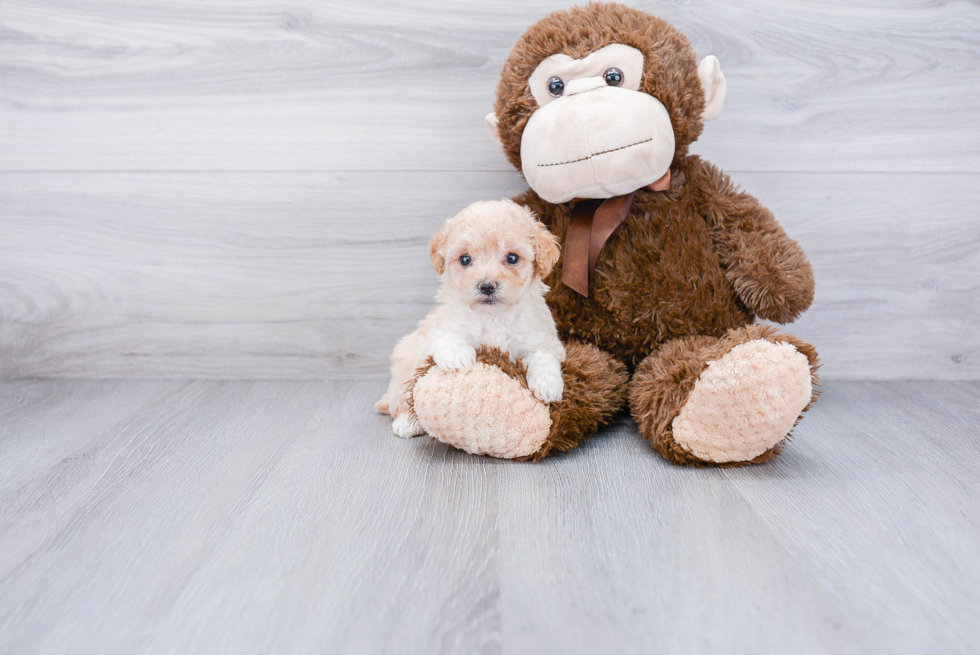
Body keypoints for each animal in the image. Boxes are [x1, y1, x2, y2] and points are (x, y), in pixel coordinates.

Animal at [378, 197, 572, 438]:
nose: (487, 286)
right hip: (404, 366)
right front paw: (458, 357)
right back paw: (407, 422)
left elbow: (543, 356)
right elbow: (445, 337)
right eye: (465, 259)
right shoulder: (438, 327)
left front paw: (548, 385)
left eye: (512, 258)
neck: (493, 316)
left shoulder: (543, 338)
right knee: (403, 399)